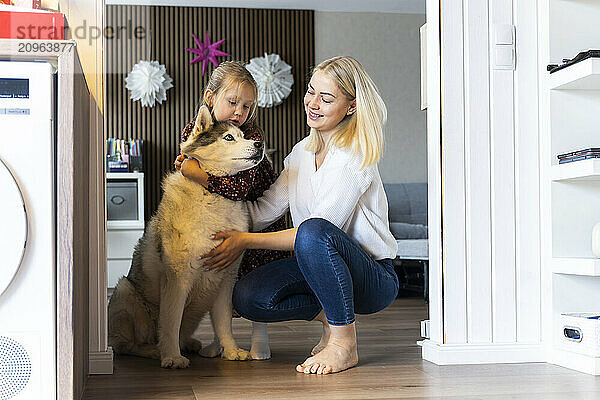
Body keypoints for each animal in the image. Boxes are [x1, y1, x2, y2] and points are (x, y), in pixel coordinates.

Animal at [109, 104, 264, 368]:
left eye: (244, 136)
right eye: (229, 138)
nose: (260, 144)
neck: (212, 195)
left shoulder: (225, 279)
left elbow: (224, 322)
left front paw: (231, 350)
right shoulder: (177, 278)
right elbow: (171, 322)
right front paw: (171, 356)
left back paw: (188, 344)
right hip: (124, 291)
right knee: (127, 346)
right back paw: (154, 350)